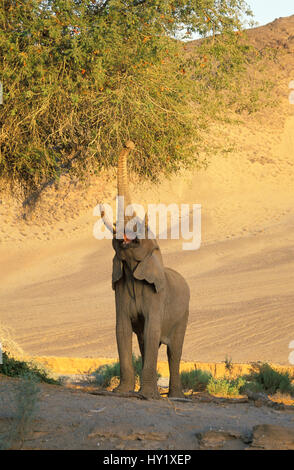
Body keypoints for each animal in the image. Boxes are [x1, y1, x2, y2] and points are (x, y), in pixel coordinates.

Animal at [101, 141, 189, 398]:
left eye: (141, 227)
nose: (129, 144)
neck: (133, 271)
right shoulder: (120, 289)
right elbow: (122, 330)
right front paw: (121, 392)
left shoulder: (157, 295)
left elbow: (152, 330)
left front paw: (147, 396)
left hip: (184, 314)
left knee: (174, 351)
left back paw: (176, 397)